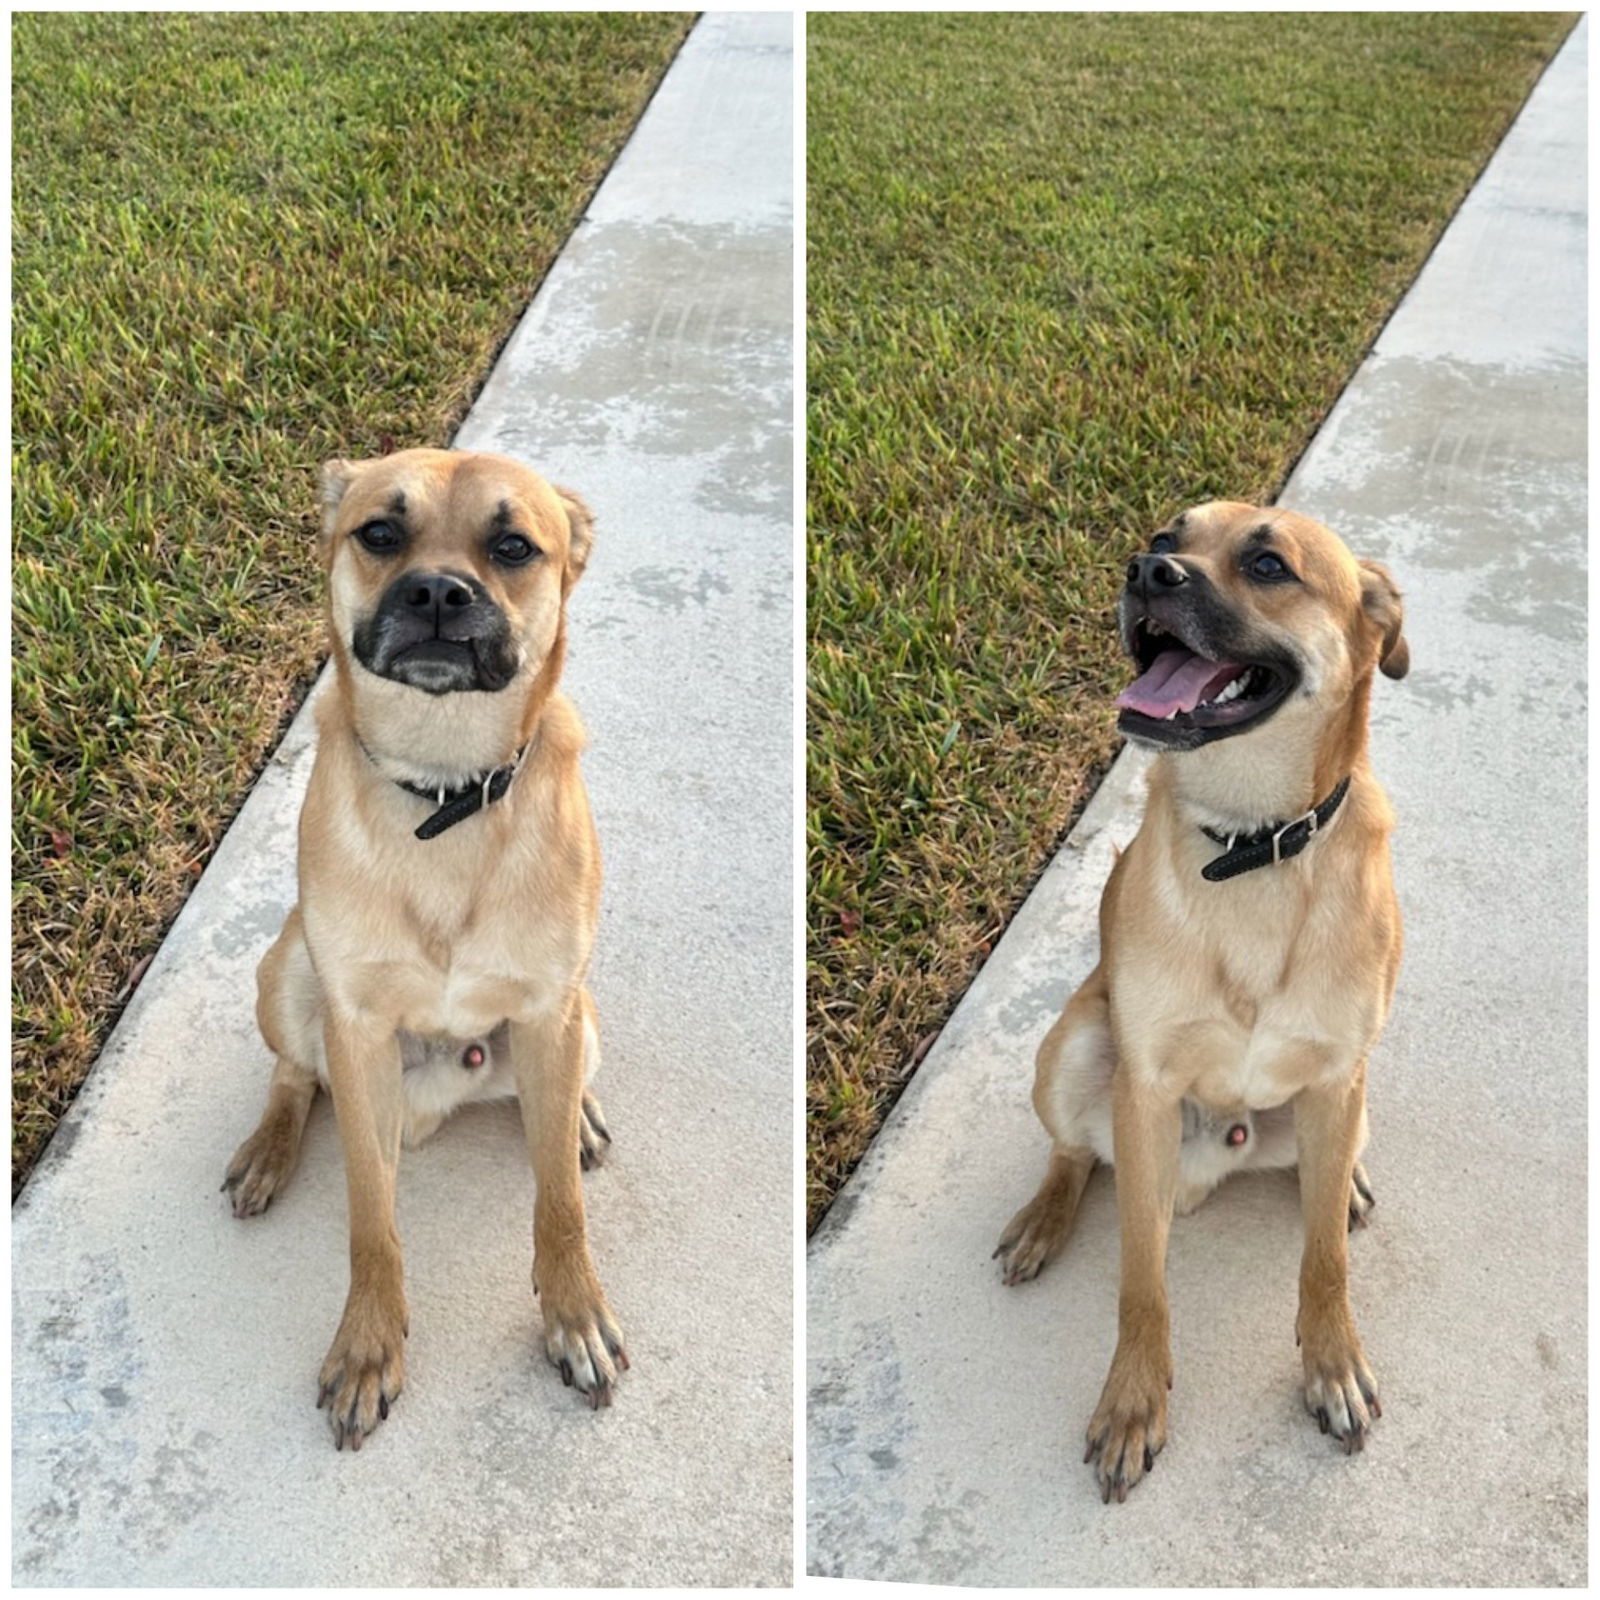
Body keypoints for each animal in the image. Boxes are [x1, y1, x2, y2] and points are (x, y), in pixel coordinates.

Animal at [225, 448, 624, 1452]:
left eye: (514, 545)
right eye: (379, 533)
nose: (438, 591)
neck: (445, 789)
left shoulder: (549, 1005)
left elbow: (559, 1207)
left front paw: (574, 1312)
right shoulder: (358, 1028)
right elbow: (372, 1220)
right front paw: (368, 1342)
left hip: (581, 1016)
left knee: (552, 1096)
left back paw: (577, 1114)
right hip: (286, 969)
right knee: (295, 1073)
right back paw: (269, 1148)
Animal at [992, 499, 1408, 1497]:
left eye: (1268, 564)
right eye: (1167, 537)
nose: (1145, 571)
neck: (1255, 845)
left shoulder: (1339, 1073)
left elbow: (1324, 1263)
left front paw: (1331, 1363)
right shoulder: (1143, 1087)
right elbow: (1140, 1284)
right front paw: (1133, 1401)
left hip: (1350, 1101)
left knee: (1325, 1173)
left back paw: (1345, 1180)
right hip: (1071, 1044)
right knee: (1074, 1153)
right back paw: (1043, 1219)